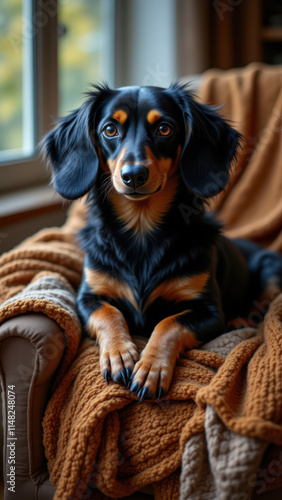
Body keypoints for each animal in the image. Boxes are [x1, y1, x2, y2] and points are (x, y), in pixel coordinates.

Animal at [44, 83, 282, 402]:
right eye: (109, 129)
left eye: (164, 129)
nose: (133, 175)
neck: (142, 233)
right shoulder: (87, 298)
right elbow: (109, 313)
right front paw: (119, 355)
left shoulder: (209, 311)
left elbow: (168, 323)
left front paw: (150, 368)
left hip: (270, 267)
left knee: (266, 303)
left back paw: (242, 320)